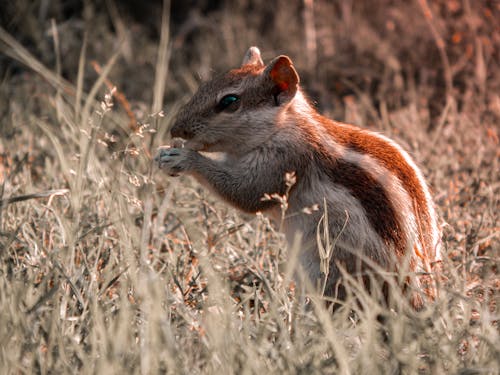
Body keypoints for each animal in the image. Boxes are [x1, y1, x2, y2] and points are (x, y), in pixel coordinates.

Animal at [156, 47, 442, 308]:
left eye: (229, 101)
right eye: (204, 86)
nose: (175, 129)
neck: (284, 125)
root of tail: (421, 297)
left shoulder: (284, 161)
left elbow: (246, 194)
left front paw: (182, 158)